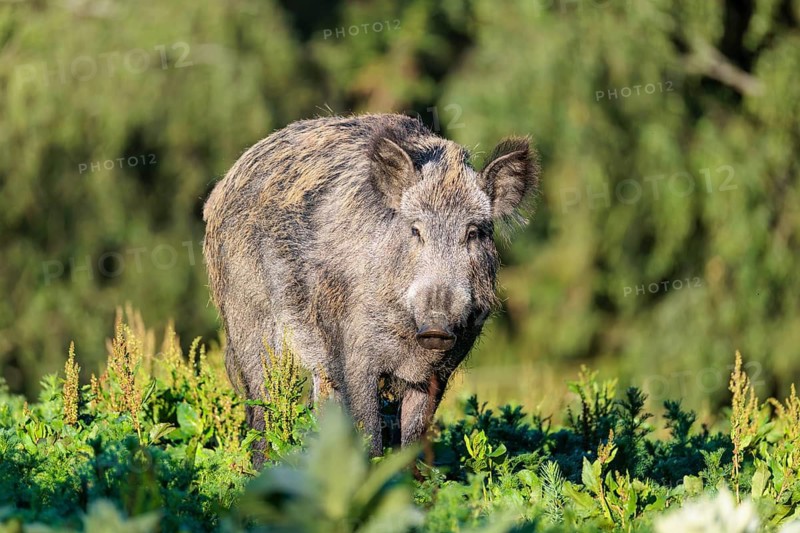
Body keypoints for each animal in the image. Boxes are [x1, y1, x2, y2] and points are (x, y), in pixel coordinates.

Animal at [203, 113, 539, 462]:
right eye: (415, 230)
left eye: (472, 233)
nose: (436, 326)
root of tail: (222, 188)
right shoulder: (354, 353)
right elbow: (369, 432)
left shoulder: (440, 370)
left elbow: (414, 437)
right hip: (247, 320)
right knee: (263, 410)